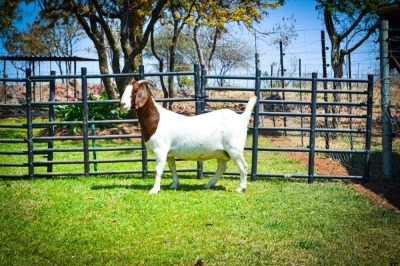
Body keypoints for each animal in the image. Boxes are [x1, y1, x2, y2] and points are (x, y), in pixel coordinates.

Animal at [119, 79, 258, 193]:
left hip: (234, 148)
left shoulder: (161, 150)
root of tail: (241, 118)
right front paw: (174, 185)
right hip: (222, 152)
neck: (156, 119)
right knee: (222, 167)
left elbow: (158, 170)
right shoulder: (169, 154)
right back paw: (208, 185)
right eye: (125, 89)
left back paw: (241, 188)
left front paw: (154, 190)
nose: (122, 104)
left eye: (135, 92)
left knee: (243, 166)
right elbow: (172, 168)